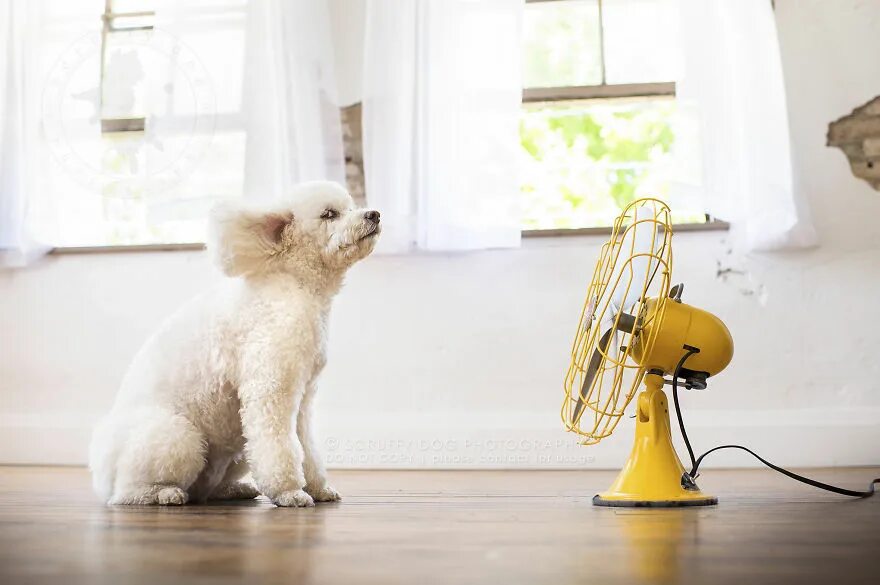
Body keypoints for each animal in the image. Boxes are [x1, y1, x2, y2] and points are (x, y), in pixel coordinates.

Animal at [87, 182, 380, 506]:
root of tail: (102, 472)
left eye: (351, 207)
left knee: (205, 489)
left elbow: (306, 448)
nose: (374, 215)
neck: (295, 285)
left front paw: (318, 487)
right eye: (329, 214)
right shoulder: (270, 389)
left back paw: (232, 489)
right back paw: (164, 493)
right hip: (178, 437)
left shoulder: (303, 398)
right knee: (126, 492)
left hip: (234, 449)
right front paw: (290, 492)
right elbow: (280, 445)